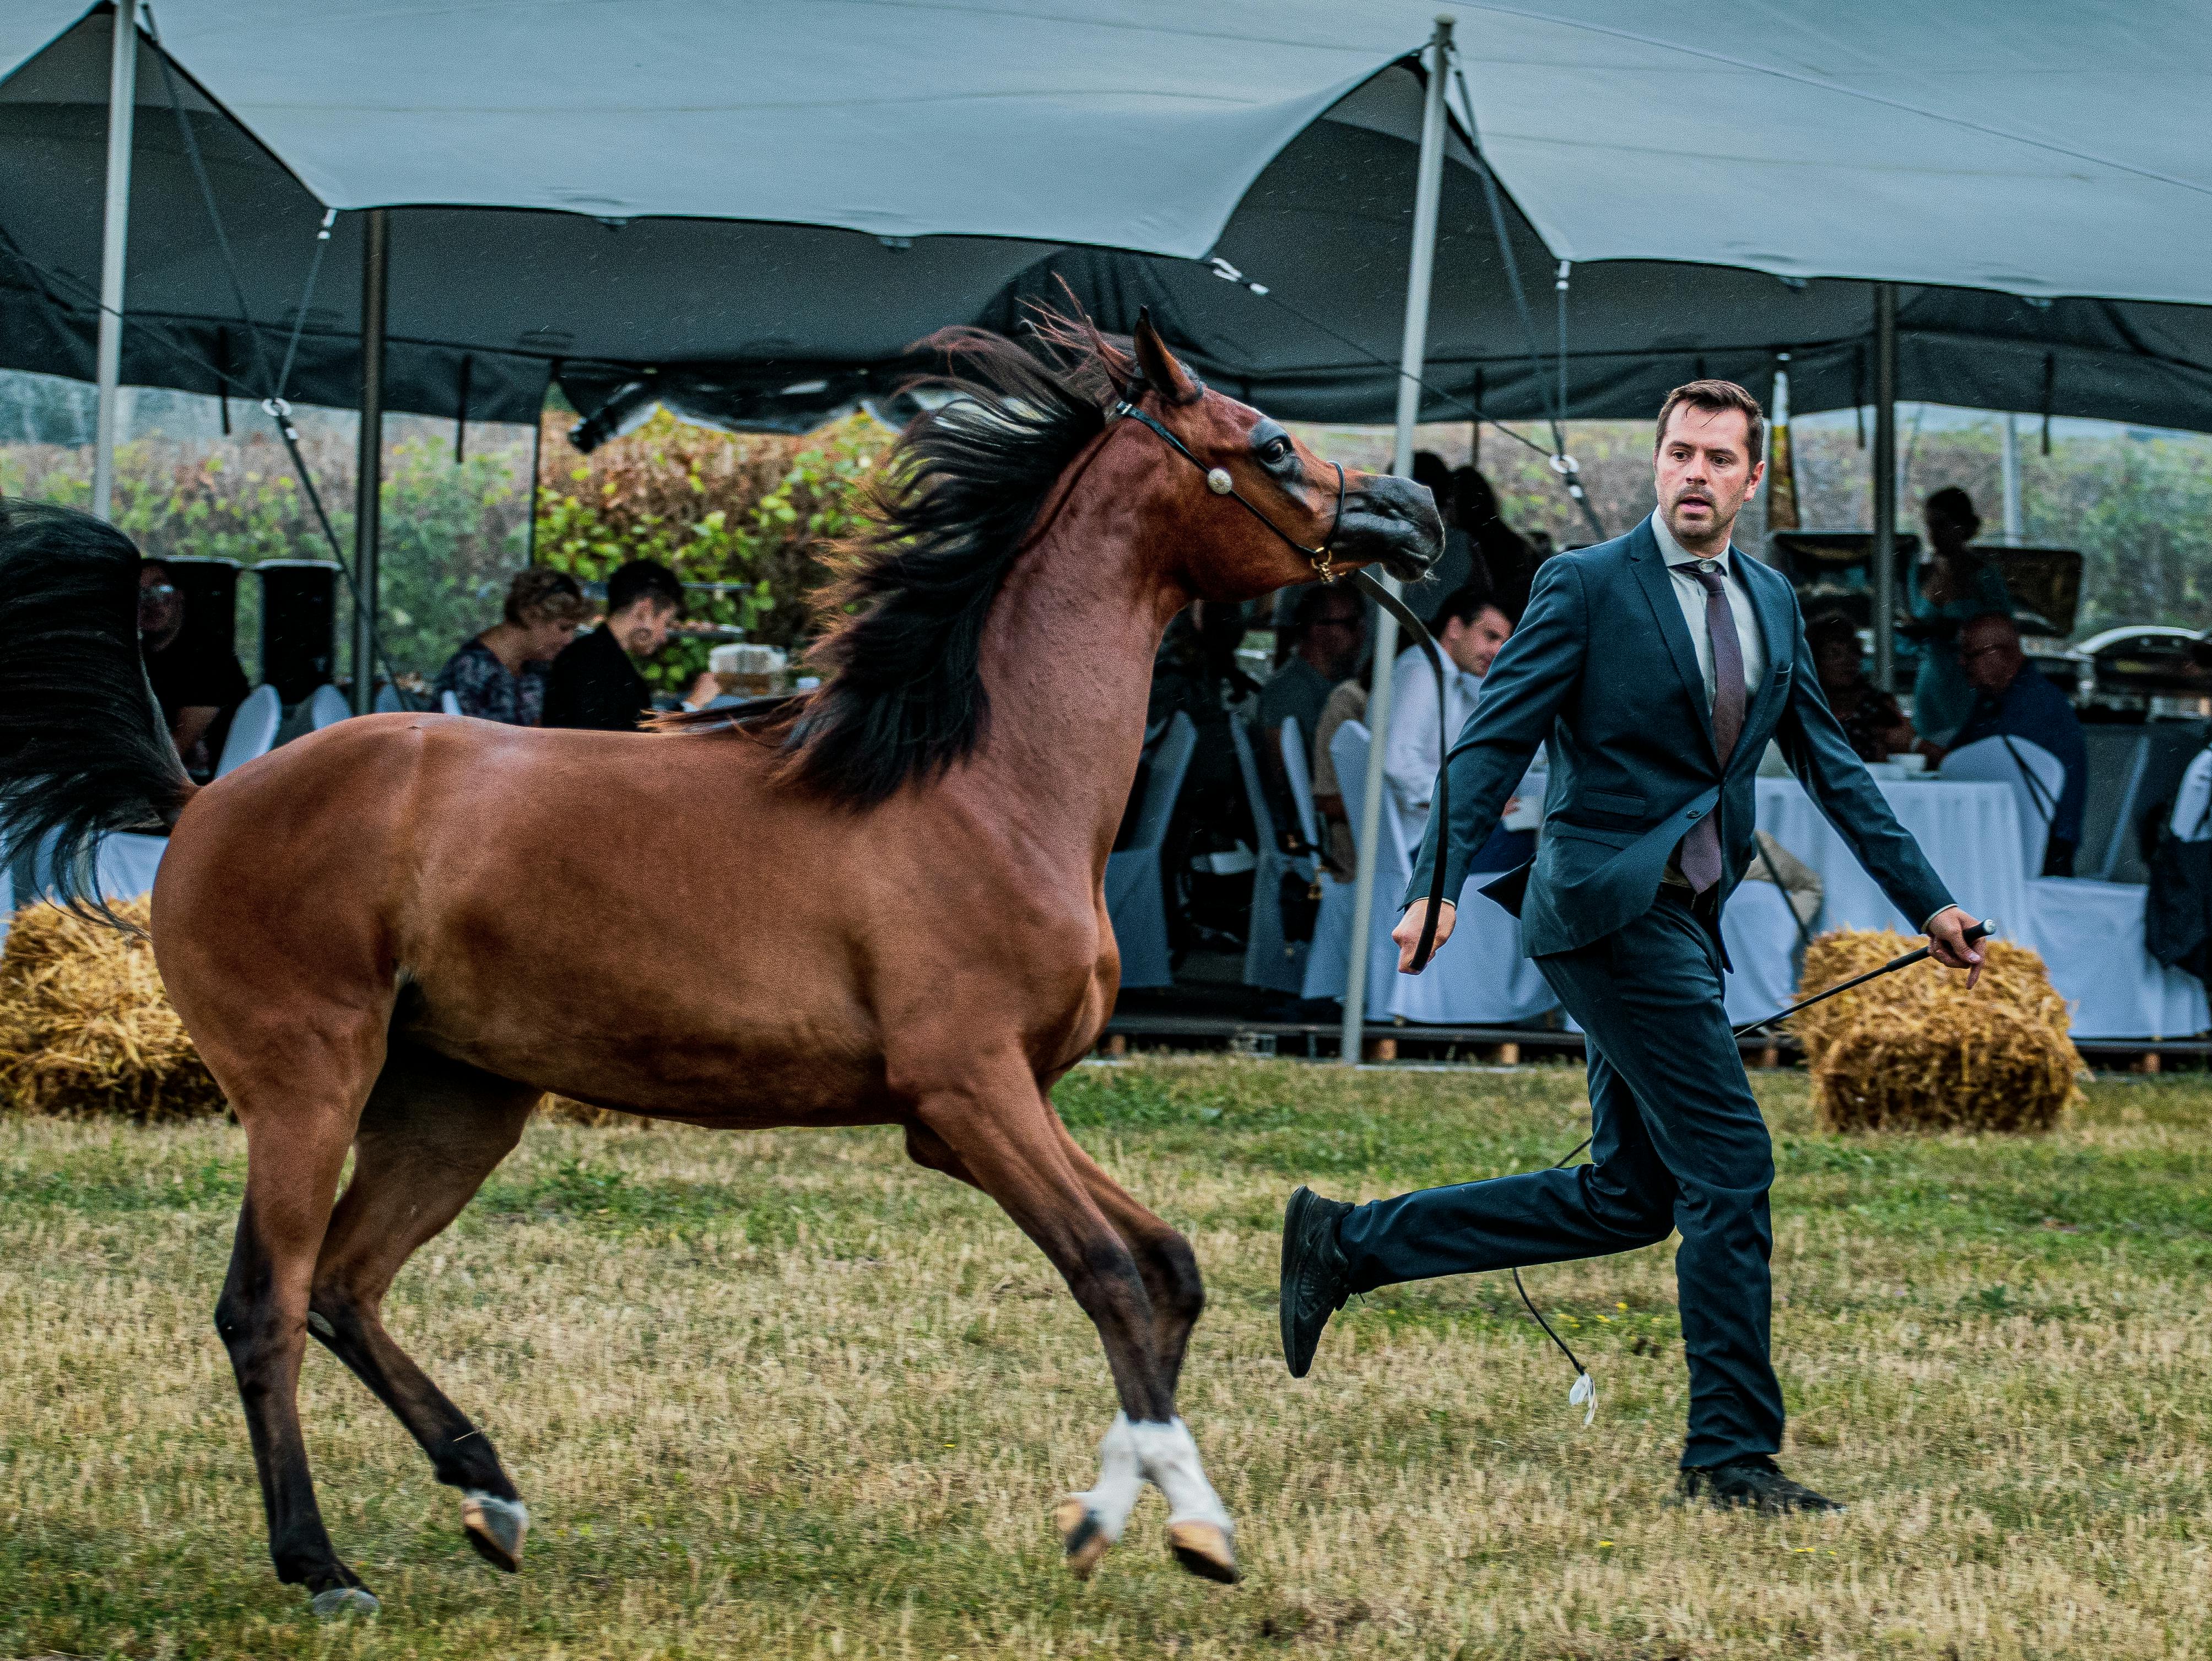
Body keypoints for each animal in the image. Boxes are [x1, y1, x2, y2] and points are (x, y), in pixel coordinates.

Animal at [0, 309, 1433, 1610]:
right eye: (1268, 440)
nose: (1410, 510)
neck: (979, 786)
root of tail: (200, 798)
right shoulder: (966, 1091)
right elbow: (1112, 1277)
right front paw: (1183, 1527)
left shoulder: (990, 1105)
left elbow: (1170, 1266)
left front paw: (1127, 1505)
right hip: (309, 1084)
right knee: (268, 1302)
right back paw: (321, 1564)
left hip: (459, 1099)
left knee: (346, 1288)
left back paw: (488, 1491)